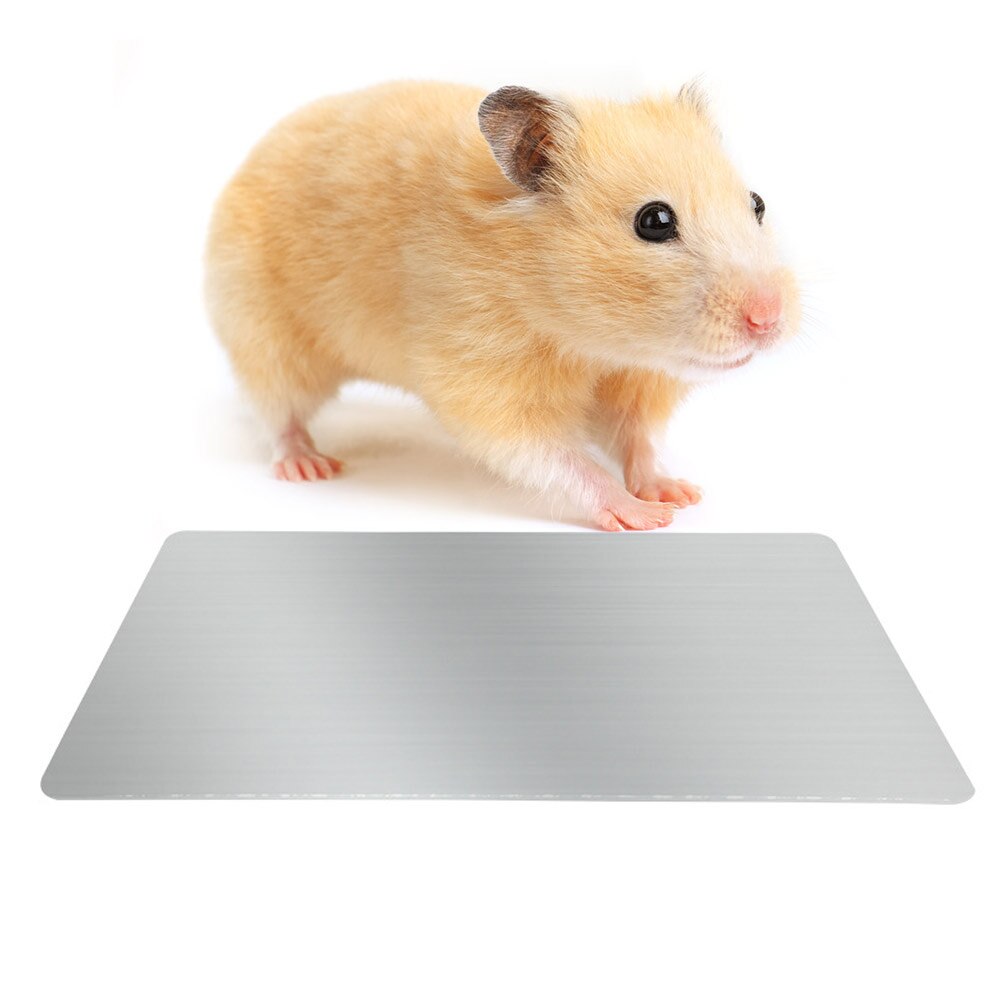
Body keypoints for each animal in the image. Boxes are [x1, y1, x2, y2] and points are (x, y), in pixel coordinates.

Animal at [204, 80, 800, 530]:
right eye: (653, 221)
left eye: (756, 203)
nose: (768, 319)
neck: (592, 341)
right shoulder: (483, 377)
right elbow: (556, 456)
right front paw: (643, 516)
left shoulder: (635, 380)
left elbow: (638, 437)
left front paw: (677, 494)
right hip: (265, 332)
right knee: (277, 410)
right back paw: (309, 466)